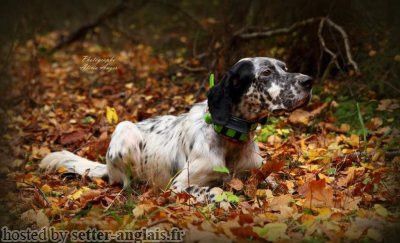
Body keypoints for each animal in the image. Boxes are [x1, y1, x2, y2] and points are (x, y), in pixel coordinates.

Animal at [40, 56, 310, 201]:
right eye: (266, 72)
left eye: (284, 68)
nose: (308, 81)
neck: (231, 139)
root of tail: (106, 167)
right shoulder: (180, 186)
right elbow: (213, 189)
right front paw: (224, 199)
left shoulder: (258, 171)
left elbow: (275, 180)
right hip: (125, 130)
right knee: (126, 184)